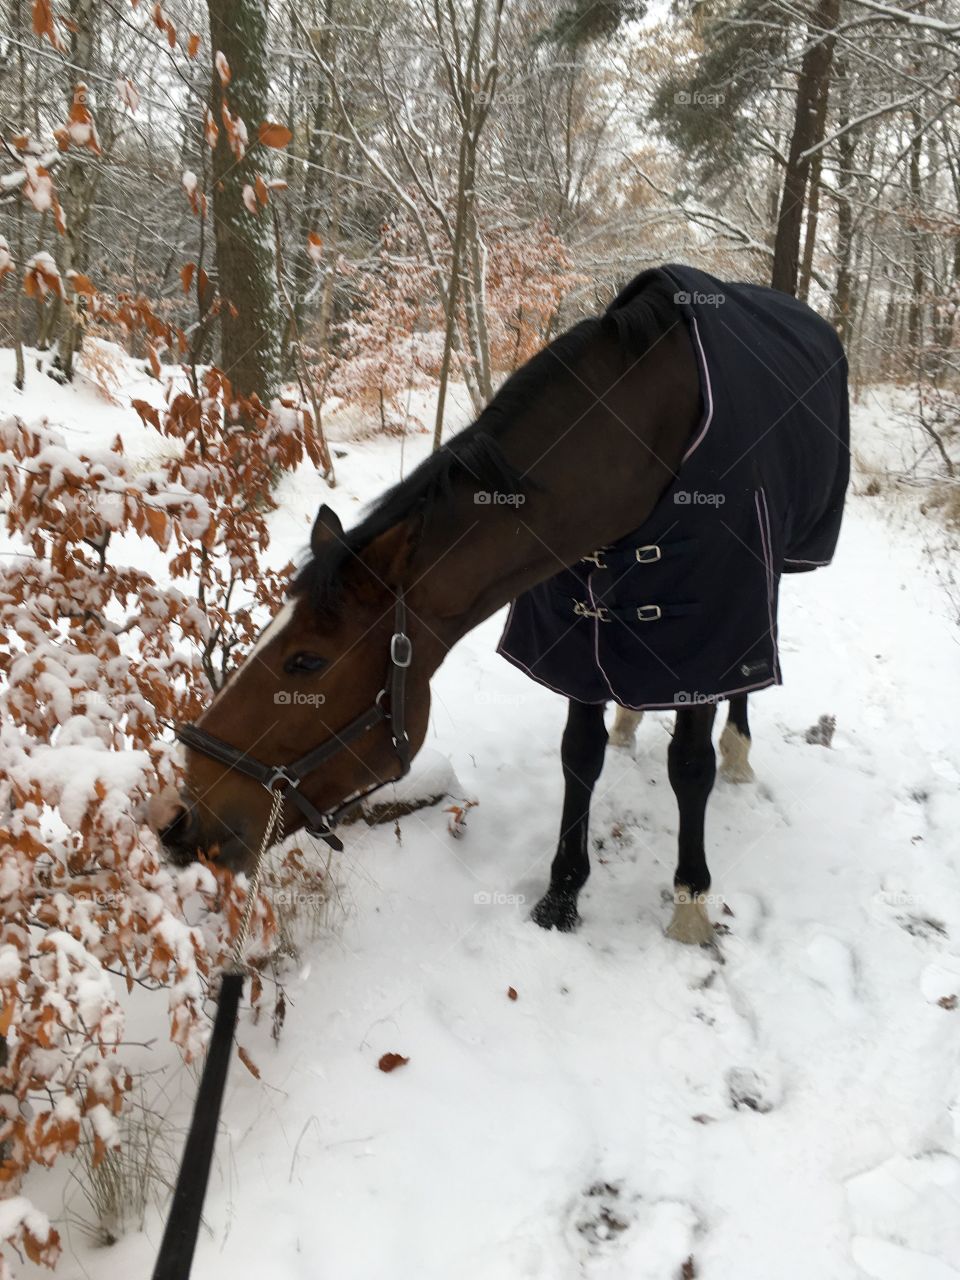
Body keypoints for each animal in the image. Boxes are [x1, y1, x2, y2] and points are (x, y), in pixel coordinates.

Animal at [150, 262, 849, 942]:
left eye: (306, 662)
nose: (173, 816)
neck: (641, 448)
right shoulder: (576, 633)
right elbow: (580, 754)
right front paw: (561, 895)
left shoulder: (707, 625)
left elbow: (689, 765)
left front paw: (691, 903)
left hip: (766, 576)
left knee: (749, 670)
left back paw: (738, 751)